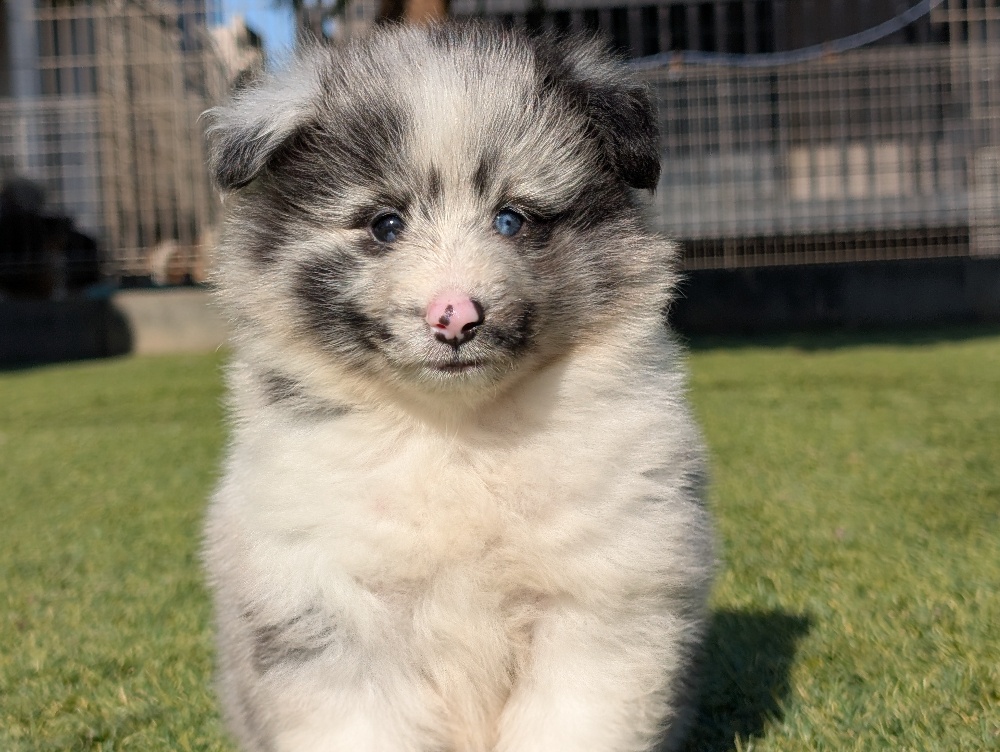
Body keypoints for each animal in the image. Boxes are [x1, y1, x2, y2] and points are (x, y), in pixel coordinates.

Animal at [203, 23, 715, 752]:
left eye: (512, 220)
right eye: (385, 224)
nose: (455, 316)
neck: (456, 435)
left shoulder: (599, 602)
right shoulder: (329, 609)